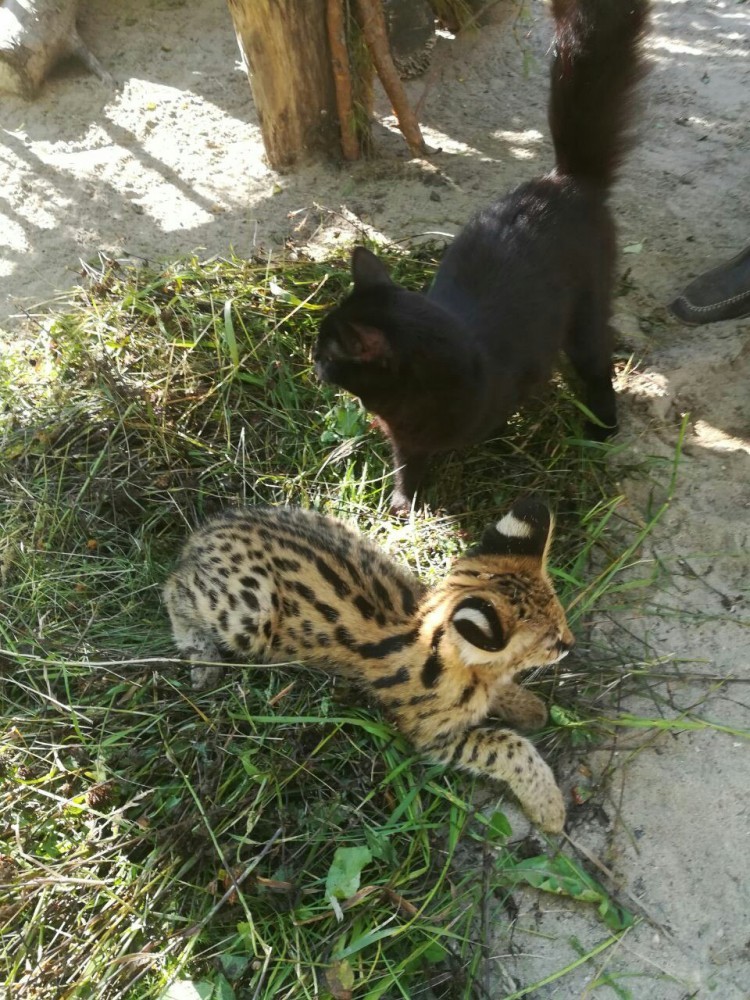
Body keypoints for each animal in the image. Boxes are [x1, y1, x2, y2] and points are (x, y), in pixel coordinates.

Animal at [166, 496, 576, 832]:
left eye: (561, 623)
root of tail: (202, 534)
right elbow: (510, 747)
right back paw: (202, 658)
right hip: (249, 618)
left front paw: (527, 707)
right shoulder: (431, 736)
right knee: (173, 587)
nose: (570, 645)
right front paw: (549, 807)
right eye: (550, 641)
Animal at [314, 0, 648, 512]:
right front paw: (404, 503)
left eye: (329, 349)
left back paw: (602, 429)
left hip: (586, 315)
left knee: (597, 367)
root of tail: (564, 180)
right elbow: (408, 465)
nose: (311, 357)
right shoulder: (405, 440)